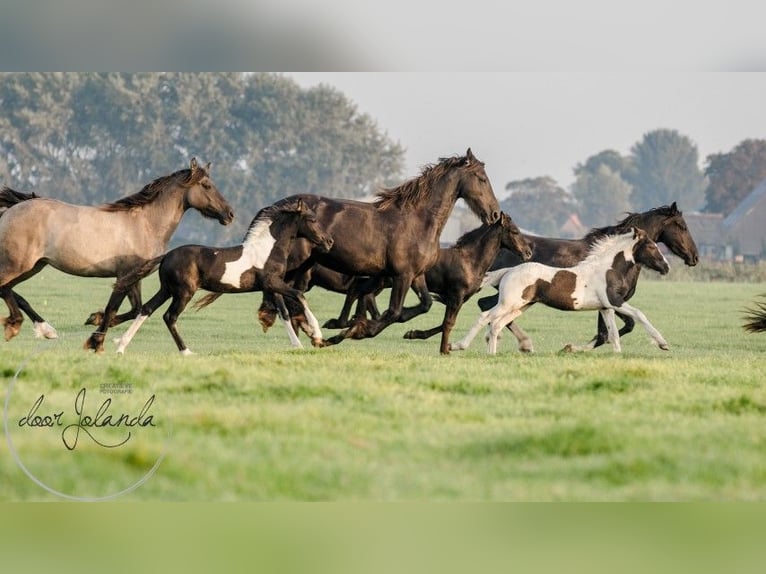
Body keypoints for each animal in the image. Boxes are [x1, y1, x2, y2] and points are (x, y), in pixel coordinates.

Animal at [0, 159, 234, 350]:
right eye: (206, 185)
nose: (230, 214)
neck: (145, 224)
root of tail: (10, 210)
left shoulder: (134, 277)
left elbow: (135, 309)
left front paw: (94, 320)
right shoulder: (124, 275)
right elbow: (113, 307)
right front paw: (96, 342)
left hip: (34, 265)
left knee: (9, 290)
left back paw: (45, 329)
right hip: (18, 264)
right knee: (5, 287)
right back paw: (17, 325)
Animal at [112, 196, 334, 355]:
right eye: (312, 219)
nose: (329, 242)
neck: (268, 249)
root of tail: (167, 255)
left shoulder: (272, 286)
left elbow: (284, 313)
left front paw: (299, 344)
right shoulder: (272, 282)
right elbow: (299, 295)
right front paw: (317, 335)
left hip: (166, 289)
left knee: (147, 309)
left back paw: (121, 346)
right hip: (184, 292)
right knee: (169, 317)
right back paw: (186, 352)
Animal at [259, 148, 502, 346]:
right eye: (482, 179)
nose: (495, 214)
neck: (418, 220)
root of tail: (277, 206)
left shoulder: (416, 275)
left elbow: (424, 304)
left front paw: (349, 325)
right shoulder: (402, 276)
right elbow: (392, 312)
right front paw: (355, 330)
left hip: (304, 266)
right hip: (292, 262)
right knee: (277, 290)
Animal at [450, 228, 671, 354]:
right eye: (651, 246)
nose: (666, 267)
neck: (608, 269)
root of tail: (509, 271)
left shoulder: (606, 307)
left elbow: (612, 334)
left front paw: (617, 355)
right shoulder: (614, 301)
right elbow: (639, 314)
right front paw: (663, 343)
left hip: (521, 306)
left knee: (497, 324)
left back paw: (493, 353)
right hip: (508, 303)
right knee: (486, 316)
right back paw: (458, 346)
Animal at [475, 203, 698, 352]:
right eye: (682, 226)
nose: (694, 257)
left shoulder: (608, 304)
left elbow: (611, 331)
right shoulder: (613, 301)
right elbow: (611, 331)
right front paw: (571, 348)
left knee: (487, 306)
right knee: (487, 306)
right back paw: (521, 343)